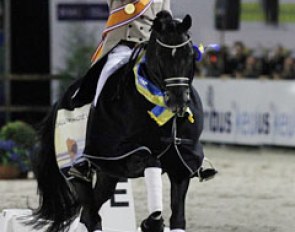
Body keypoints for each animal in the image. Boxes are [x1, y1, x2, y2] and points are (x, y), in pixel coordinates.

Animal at [31, 10, 217, 232]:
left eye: (189, 55)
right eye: (160, 56)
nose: (178, 102)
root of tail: (60, 100)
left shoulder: (181, 164)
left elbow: (178, 219)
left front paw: (153, 223)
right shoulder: (120, 154)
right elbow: (150, 160)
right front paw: (151, 223)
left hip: (108, 176)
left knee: (90, 214)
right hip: (79, 170)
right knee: (91, 214)